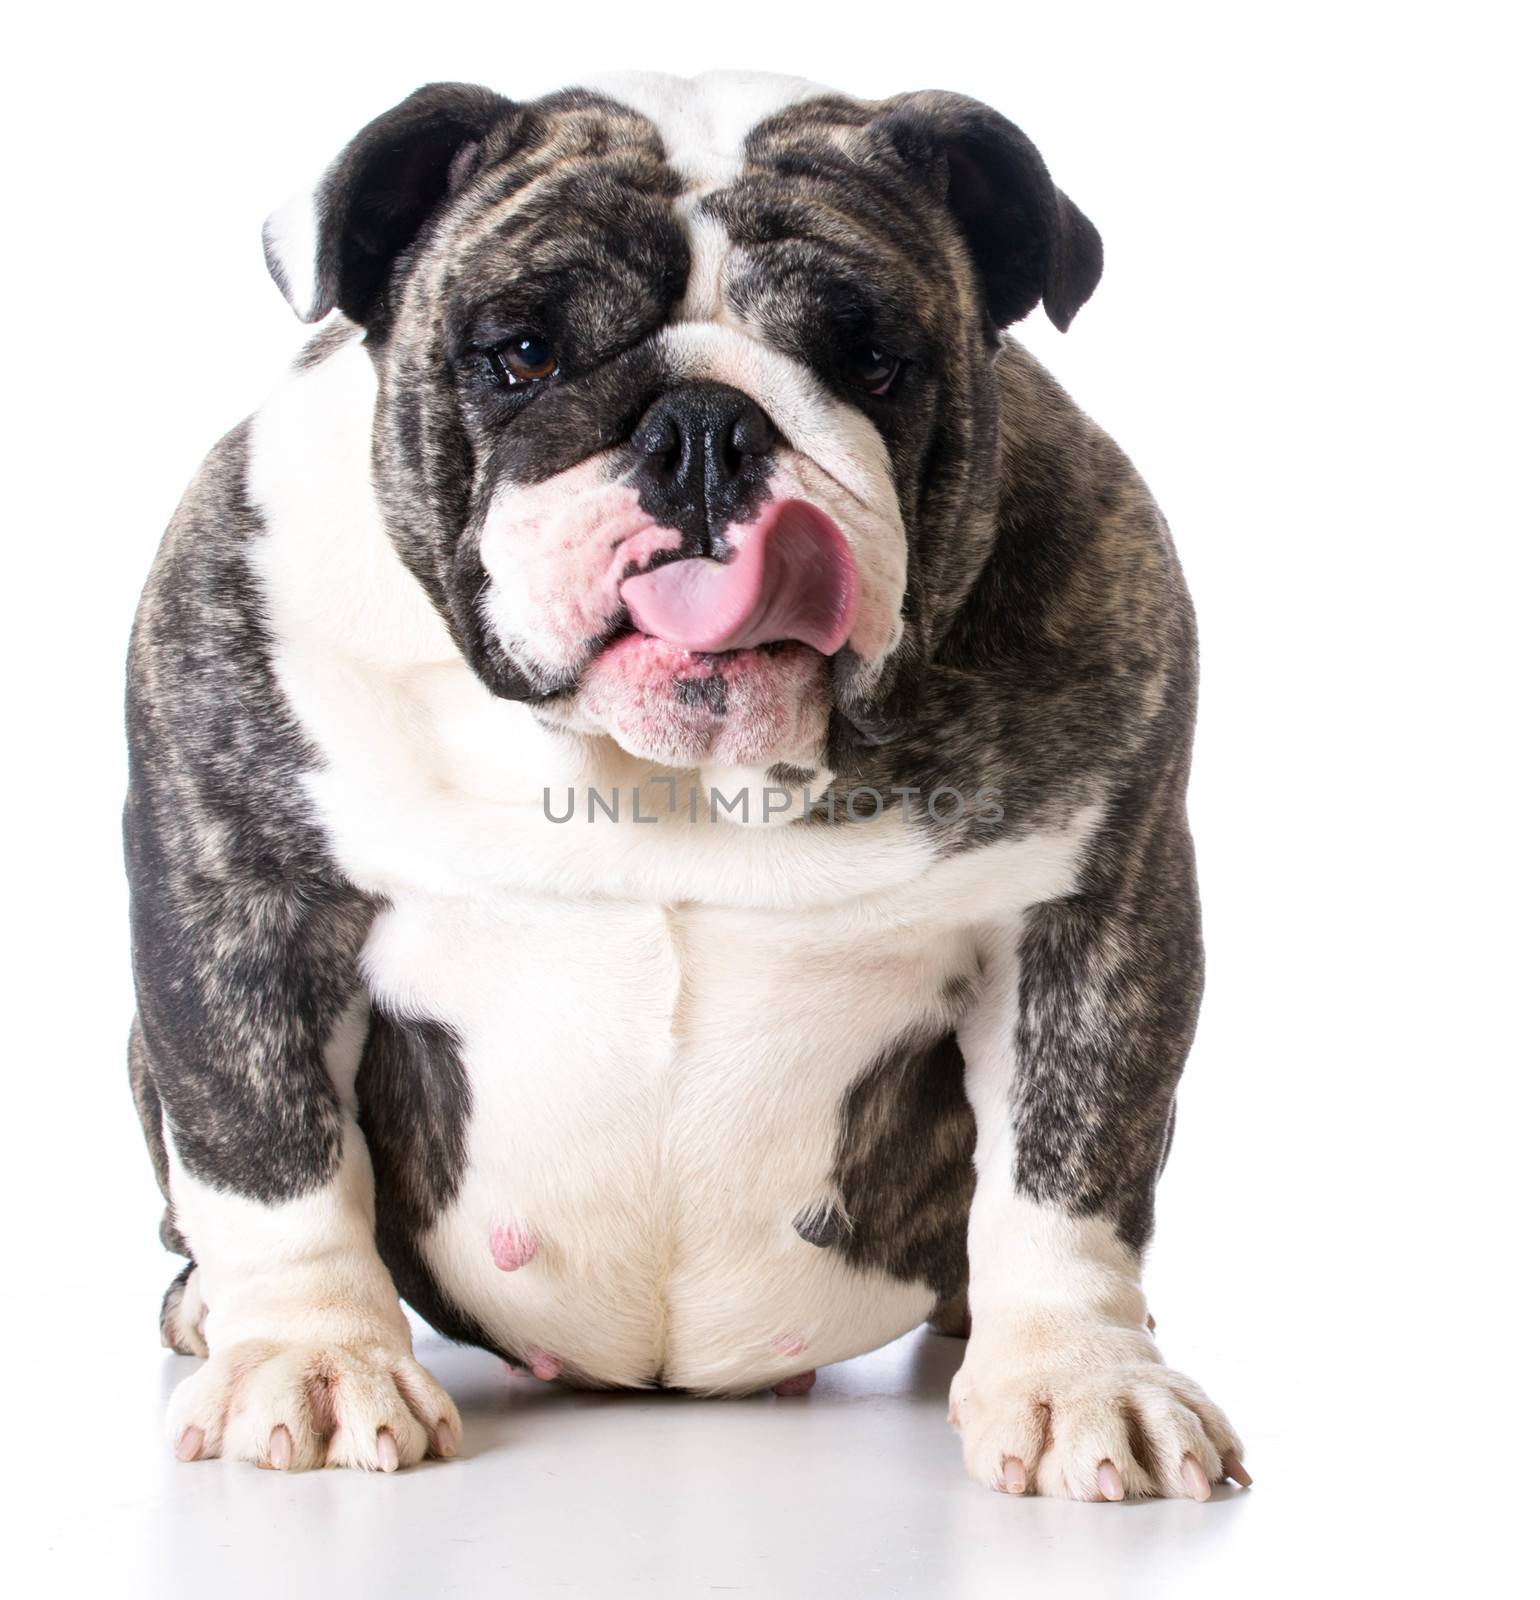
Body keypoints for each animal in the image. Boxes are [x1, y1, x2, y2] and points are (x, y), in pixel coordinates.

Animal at [126, 72, 1242, 1497]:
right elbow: (269, 1149)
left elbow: (1071, 1169)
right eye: (522, 351)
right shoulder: (245, 903)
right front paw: (310, 1360)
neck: (672, 775)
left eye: (871, 360)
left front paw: (1081, 1379)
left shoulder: (1093, 921)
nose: (704, 427)